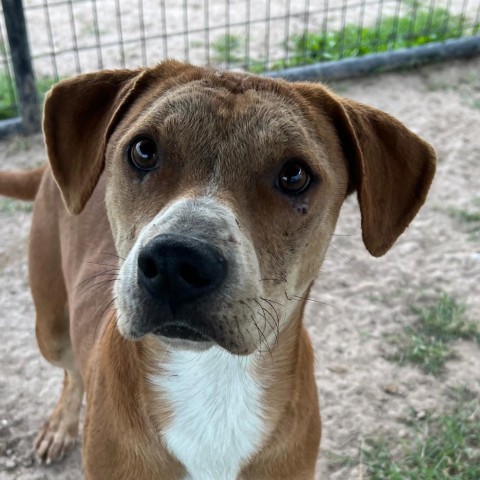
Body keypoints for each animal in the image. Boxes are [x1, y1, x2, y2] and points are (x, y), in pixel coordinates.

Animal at [0, 61, 436, 480]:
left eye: (294, 174)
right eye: (143, 150)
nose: (176, 260)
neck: (213, 380)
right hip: (51, 329)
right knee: (71, 371)